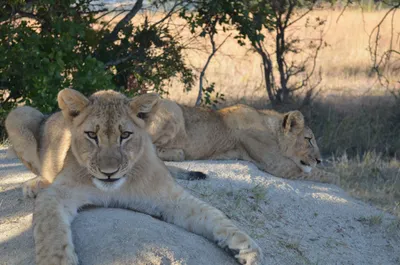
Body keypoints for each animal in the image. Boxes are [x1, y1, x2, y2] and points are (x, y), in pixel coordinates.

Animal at [23, 88, 264, 264]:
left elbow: (211, 213)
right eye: (92, 135)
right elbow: (50, 231)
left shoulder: (169, 197)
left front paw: (244, 246)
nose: (108, 172)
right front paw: (57, 260)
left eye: (125, 135)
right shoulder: (56, 193)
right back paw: (33, 185)